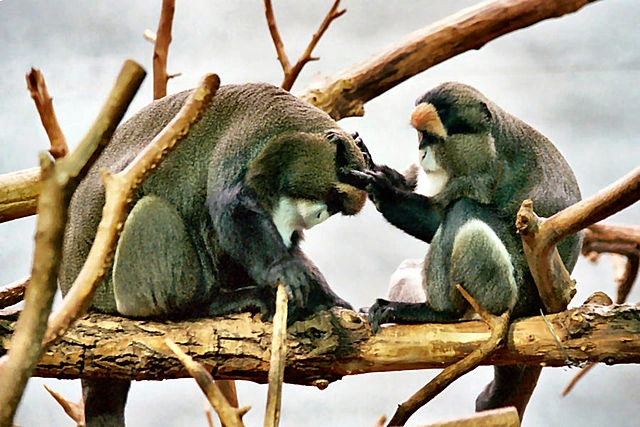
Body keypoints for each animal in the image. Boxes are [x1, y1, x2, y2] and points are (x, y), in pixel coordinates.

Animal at [58, 82, 367, 426]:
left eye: (337, 206)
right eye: (334, 197)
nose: (320, 215)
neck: (292, 129)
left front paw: (324, 295)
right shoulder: (252, 135)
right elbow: (231, 204)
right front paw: (283, 269)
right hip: (120, 294)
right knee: (152, 212)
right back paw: (209, 304)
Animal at [343, 82, 582, 418]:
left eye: (432, 137)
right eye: (420, 135)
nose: (421, 152)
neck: (488, 144)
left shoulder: (484, 176)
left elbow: (436, 218)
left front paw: (379, 186)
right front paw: (368, 157)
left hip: (506, 296)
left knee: (463, 213)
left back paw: (436, 312)